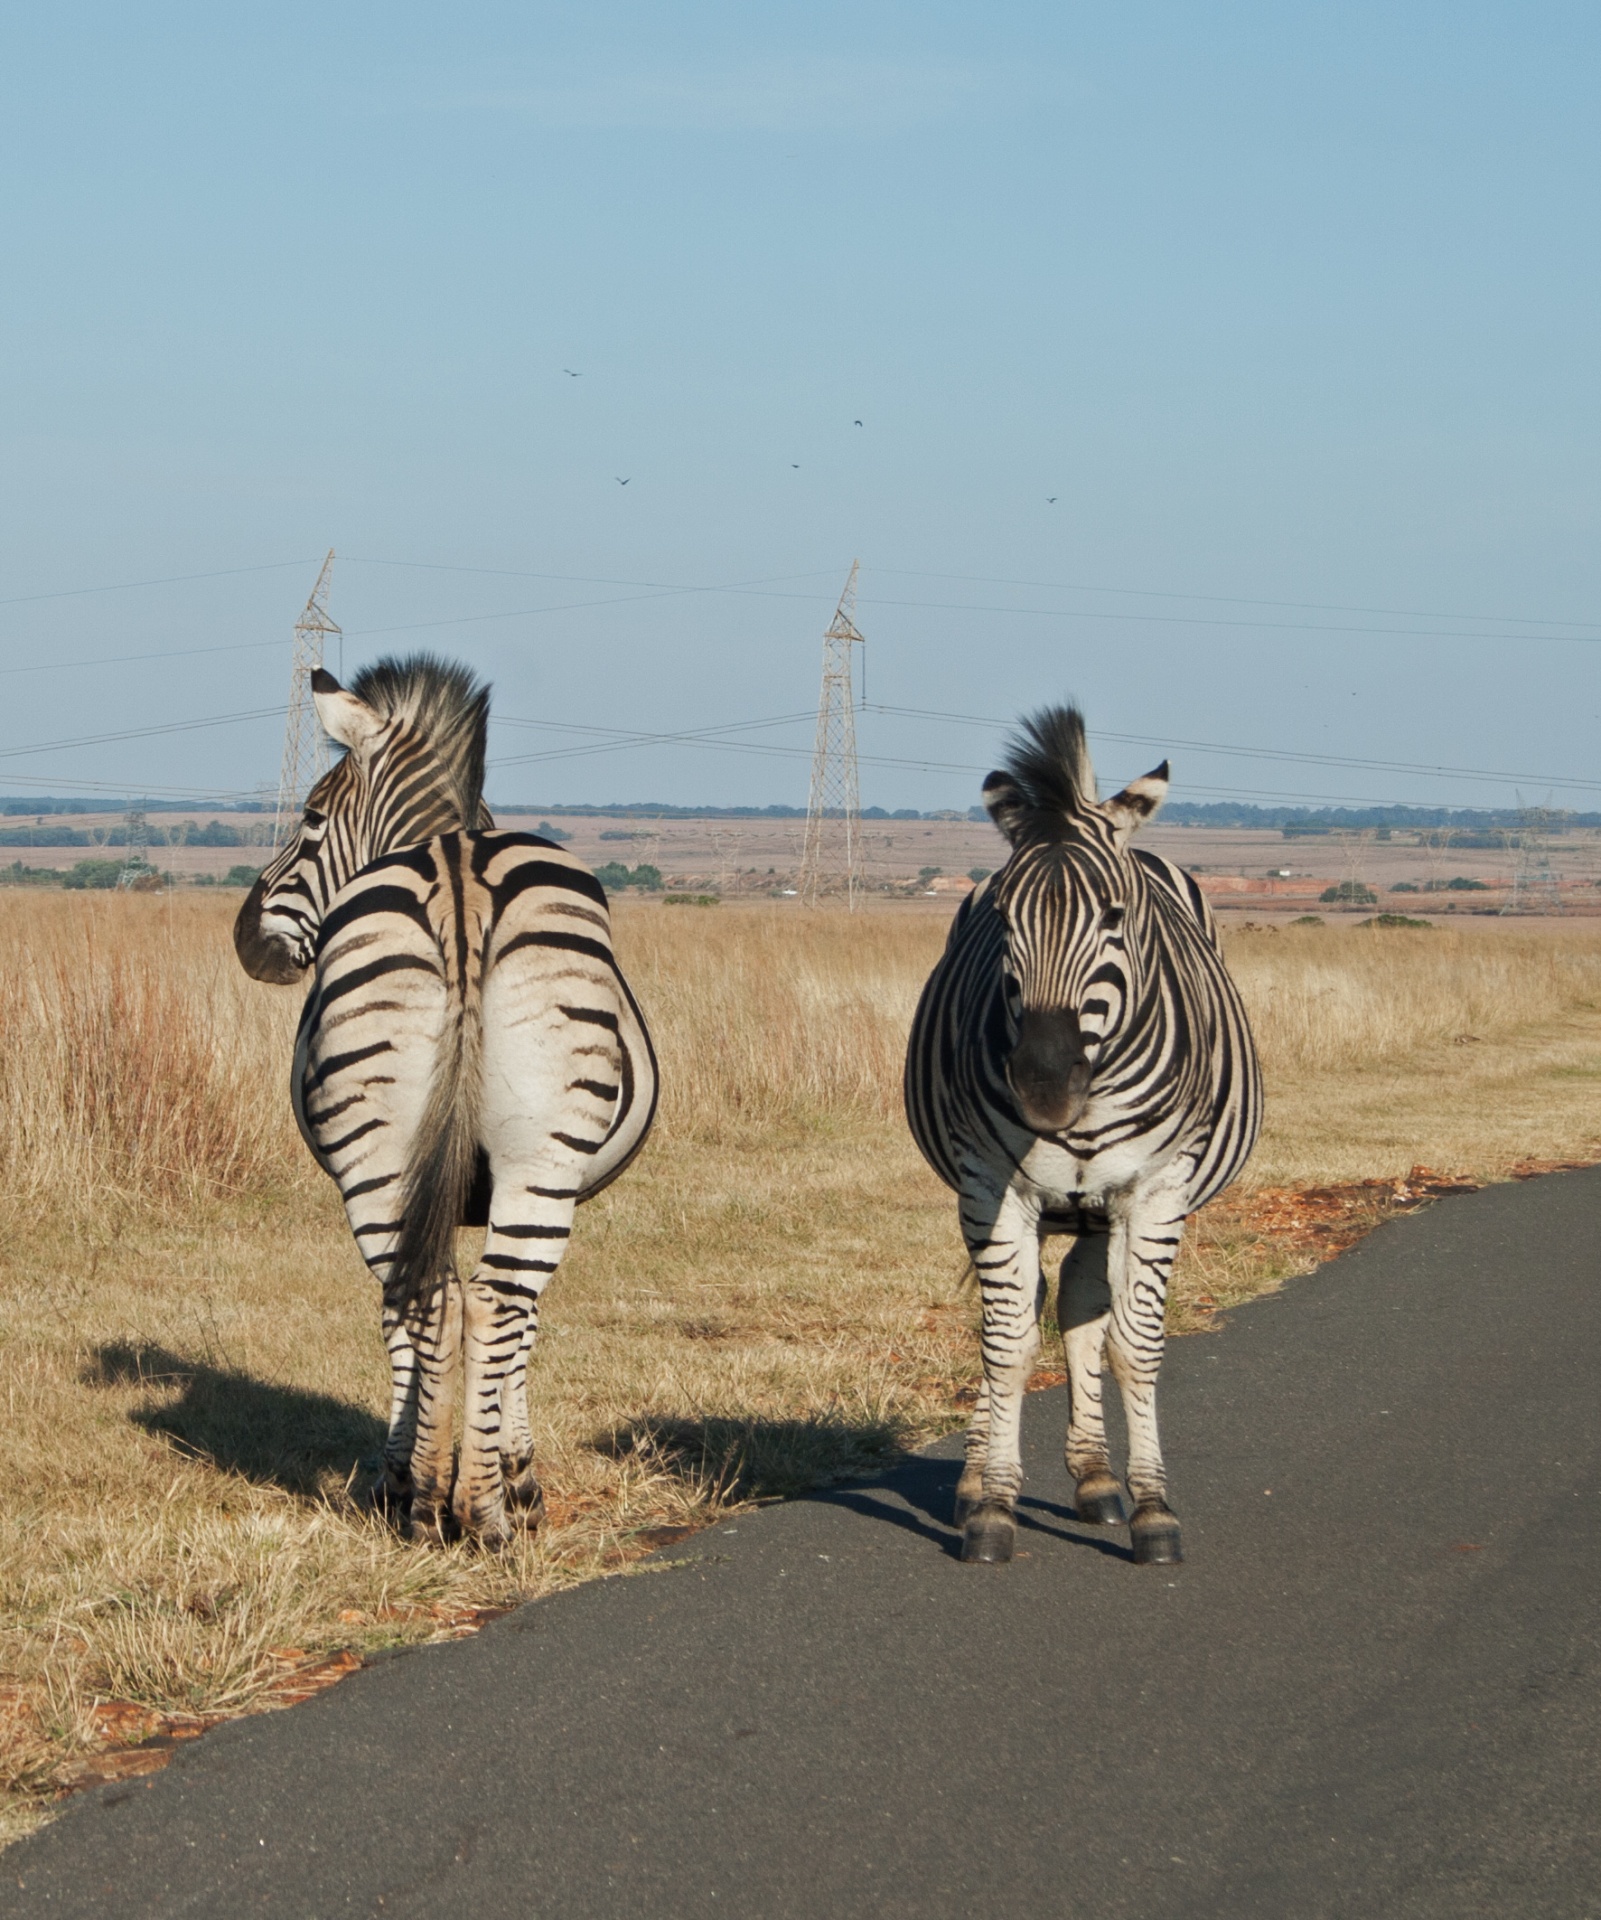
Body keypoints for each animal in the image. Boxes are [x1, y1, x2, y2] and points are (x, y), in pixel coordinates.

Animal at [232, 660, 656, 1543]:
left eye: (312, 817)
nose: (245, 940)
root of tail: (459, 870)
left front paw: (464, 1466)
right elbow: (515, 1324)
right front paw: (513, 1474)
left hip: (389, 1152)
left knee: (429, 1295)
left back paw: (429, 1499)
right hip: (533, 1154)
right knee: (491, 1300)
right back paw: (475, 1508)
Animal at [906, 714, 1251, 1566]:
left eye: (1115, 916)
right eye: (1004, 921)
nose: (1041, 1086)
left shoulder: (1155, 1190)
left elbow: (1134, 1344)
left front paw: (1153, 1509)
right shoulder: (990, 1186)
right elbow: (1005, 1344)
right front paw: (992, 1507)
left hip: (1104, 1207)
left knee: (1083, 1305)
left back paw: (1097, 1480)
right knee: (1031, 1308)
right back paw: (986, 1480)